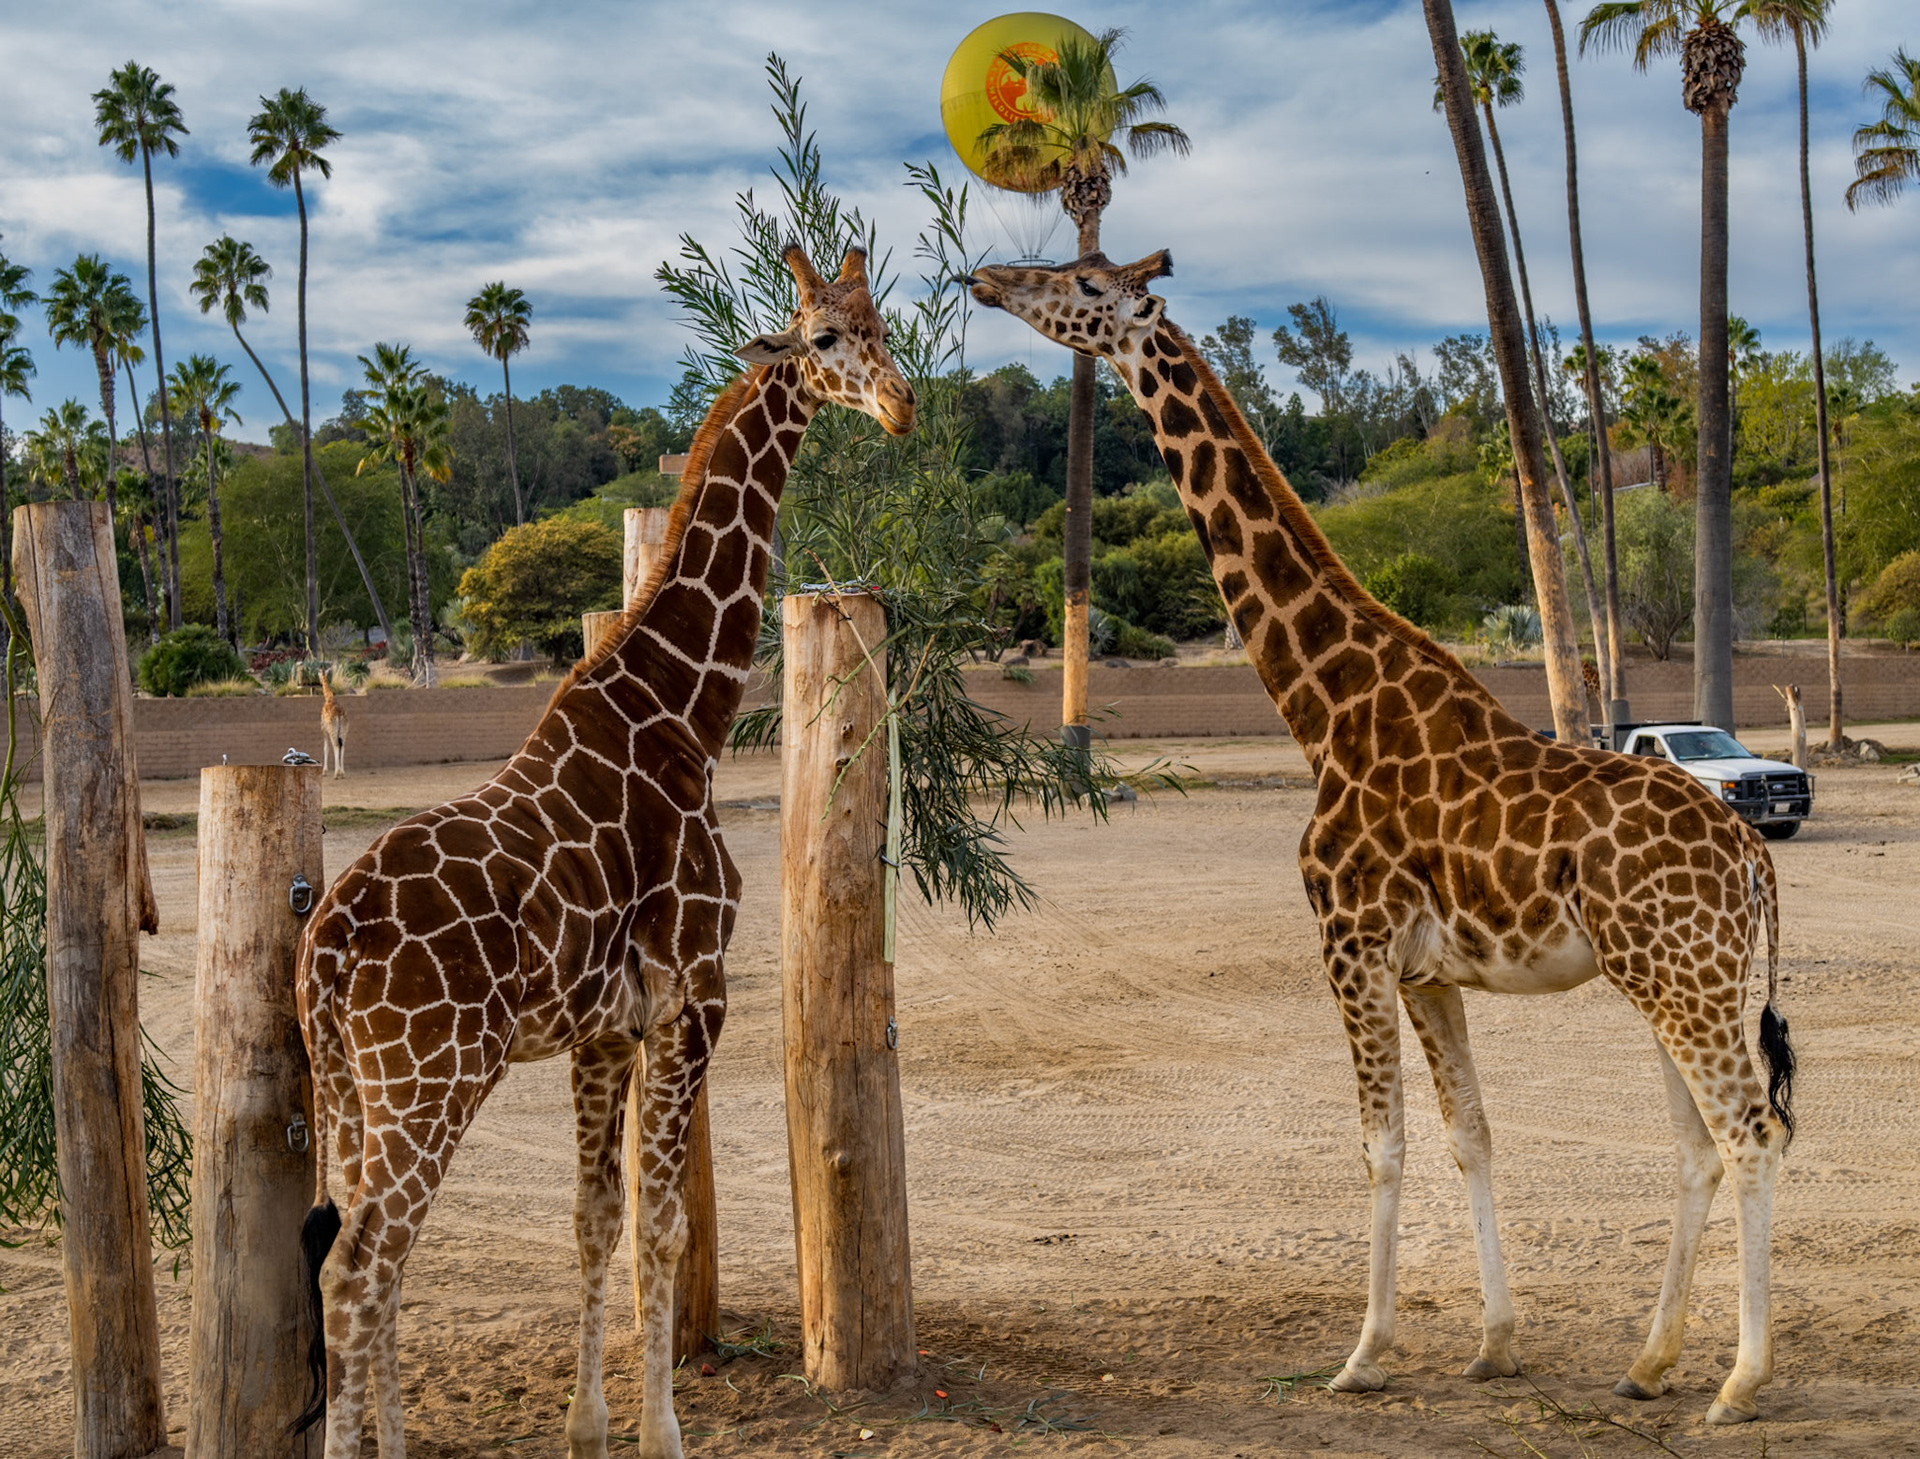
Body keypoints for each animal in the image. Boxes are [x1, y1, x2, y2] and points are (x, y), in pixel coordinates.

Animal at [292, 244, 914, 1459]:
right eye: (825, 337)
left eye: (883, 325)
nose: (902, 404)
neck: (682, 711)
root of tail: (325, 949)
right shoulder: (693, 996)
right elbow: (662, 1228)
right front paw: (662, 1432)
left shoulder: (603, 1030)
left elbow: (595, 1223)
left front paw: (588, 1427)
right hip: (428, 1081)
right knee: (356, 1267)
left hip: (352, 1086)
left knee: (367, 1259)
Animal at [967, 252, 1796, 1424]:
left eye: (1083, 283)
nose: (988, 278)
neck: (1327, 711)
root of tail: (1755, 857)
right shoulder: (1427, 971)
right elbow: (1470, 1134)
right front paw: (1494, 1344)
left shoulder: (1349, 942)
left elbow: (1381, 1144)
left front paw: (1363, 1353)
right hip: (1678, 978)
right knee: (1701, 1147)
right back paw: (1648, 1363)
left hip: (1679, 976)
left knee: (1749, 1132)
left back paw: (1737, 1381)